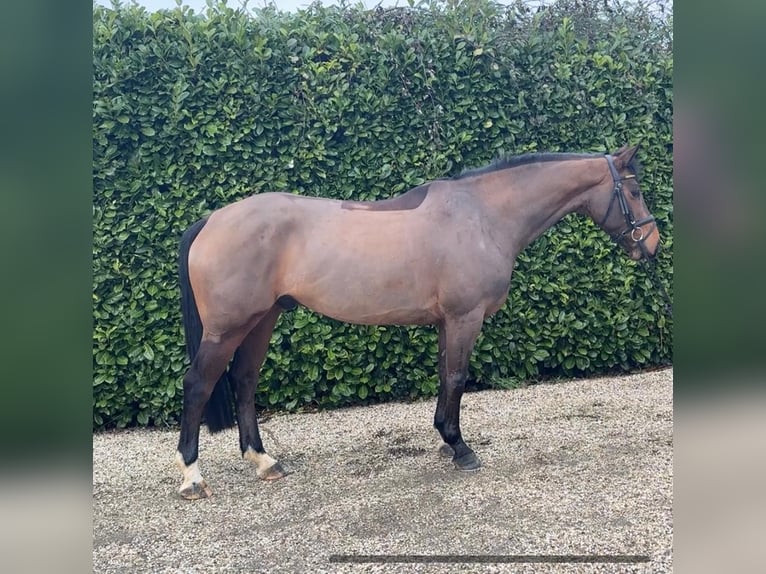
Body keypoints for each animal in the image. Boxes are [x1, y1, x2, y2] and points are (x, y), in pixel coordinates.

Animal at [174, 143, 660, 499]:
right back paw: (192, 476)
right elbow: (458, 376)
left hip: (262, 319)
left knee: (244, 381)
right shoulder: (466, 317)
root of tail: (212, 219)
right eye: (635, 191)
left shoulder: (448, 321)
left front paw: (446, 440)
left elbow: (446, 376)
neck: (482, 216)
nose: (652, 244)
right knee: (198, 384)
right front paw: (461, 449)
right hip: (228, 328)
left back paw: (264, 461)